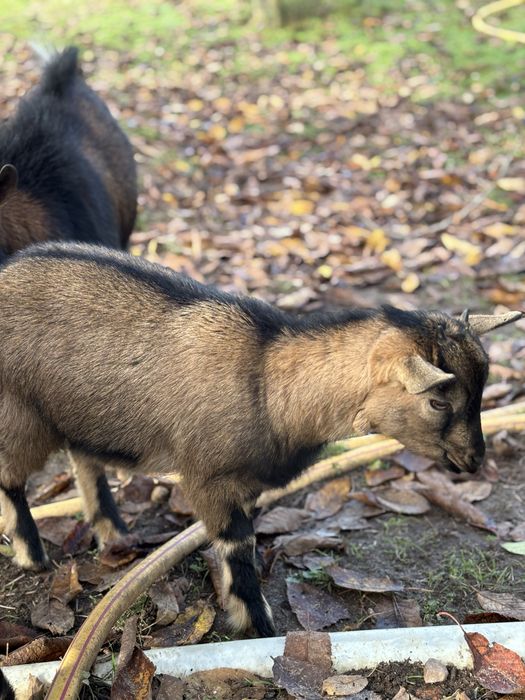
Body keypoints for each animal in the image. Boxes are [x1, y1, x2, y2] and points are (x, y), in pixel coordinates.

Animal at [0, 242, 521, 637]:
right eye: (437, 401)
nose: (474, 459)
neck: (269, 383)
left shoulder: (245, 483)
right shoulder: (207, 478)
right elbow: (237, 546)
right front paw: (257, 622)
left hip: (76, 412)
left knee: (83, 458)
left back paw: (113, 532)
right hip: (20, 413)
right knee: (12, 478)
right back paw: (33, 555)